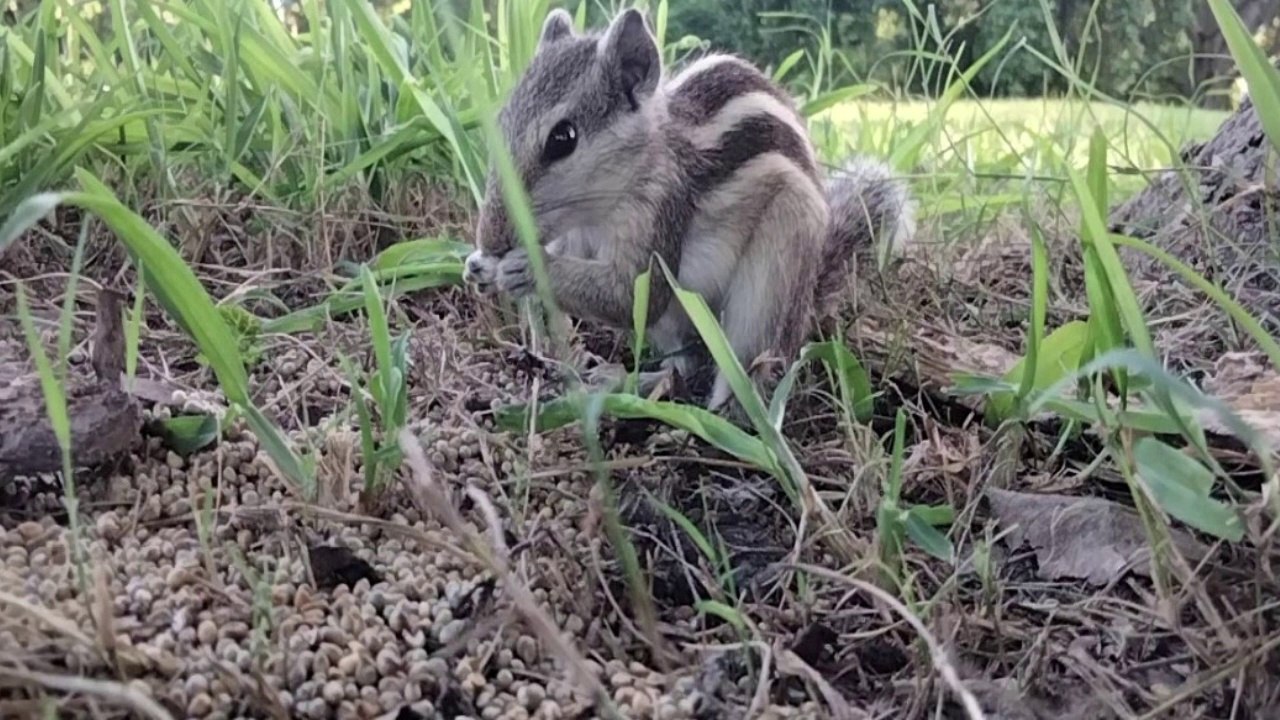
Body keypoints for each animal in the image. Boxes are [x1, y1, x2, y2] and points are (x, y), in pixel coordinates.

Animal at [464, 8, 915, 413]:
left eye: (563, 138)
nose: (492, 237)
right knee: (684, 365)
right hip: (677, 325)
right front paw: (478, 266)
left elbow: (629, 295)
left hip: (772, 281)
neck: (598, 210)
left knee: (751, 369)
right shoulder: (578, 237)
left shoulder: (660, 214)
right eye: (501, 120)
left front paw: (526, 268)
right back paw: (626, 381)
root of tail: (808, 298)